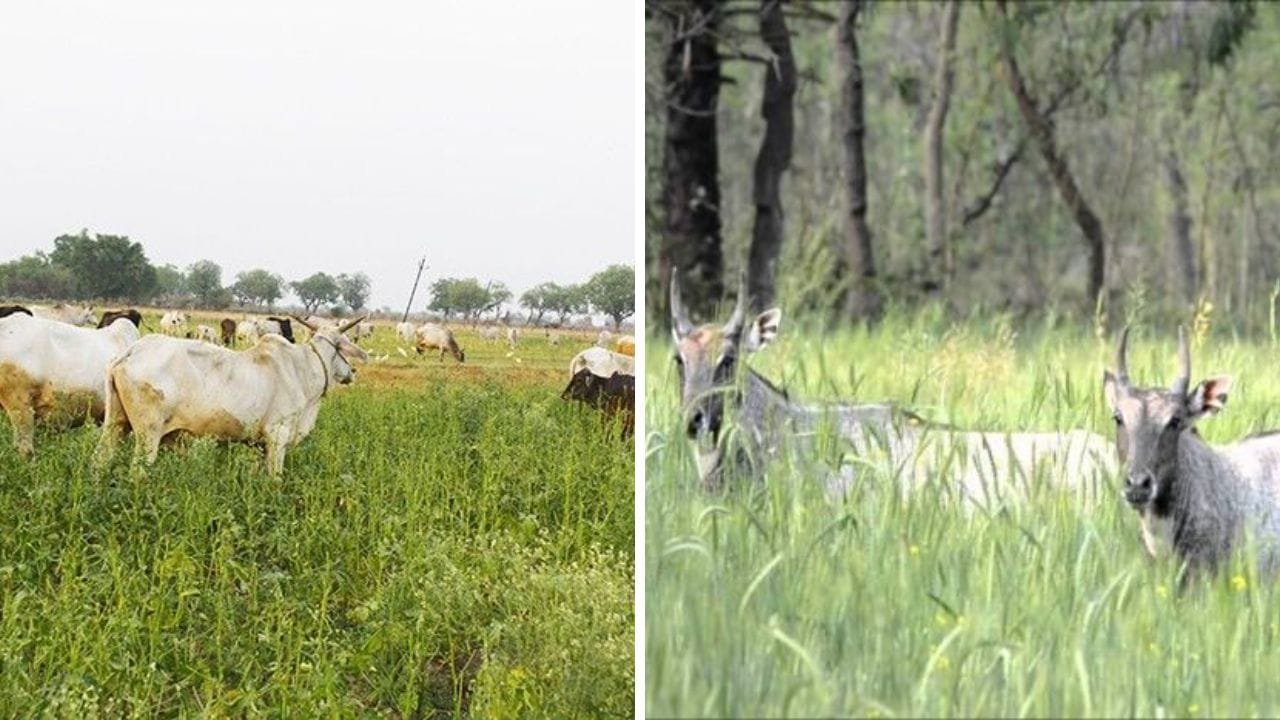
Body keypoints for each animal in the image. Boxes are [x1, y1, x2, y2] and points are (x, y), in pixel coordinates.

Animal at [93, 312, 366, 471]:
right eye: (342, 347)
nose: (352, 371)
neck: (303, 368)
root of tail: (131, 352)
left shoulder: (262, 445)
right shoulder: (277, 437)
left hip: (115, 425)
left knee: (100, 459)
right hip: (148, 435)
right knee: (138, 470)